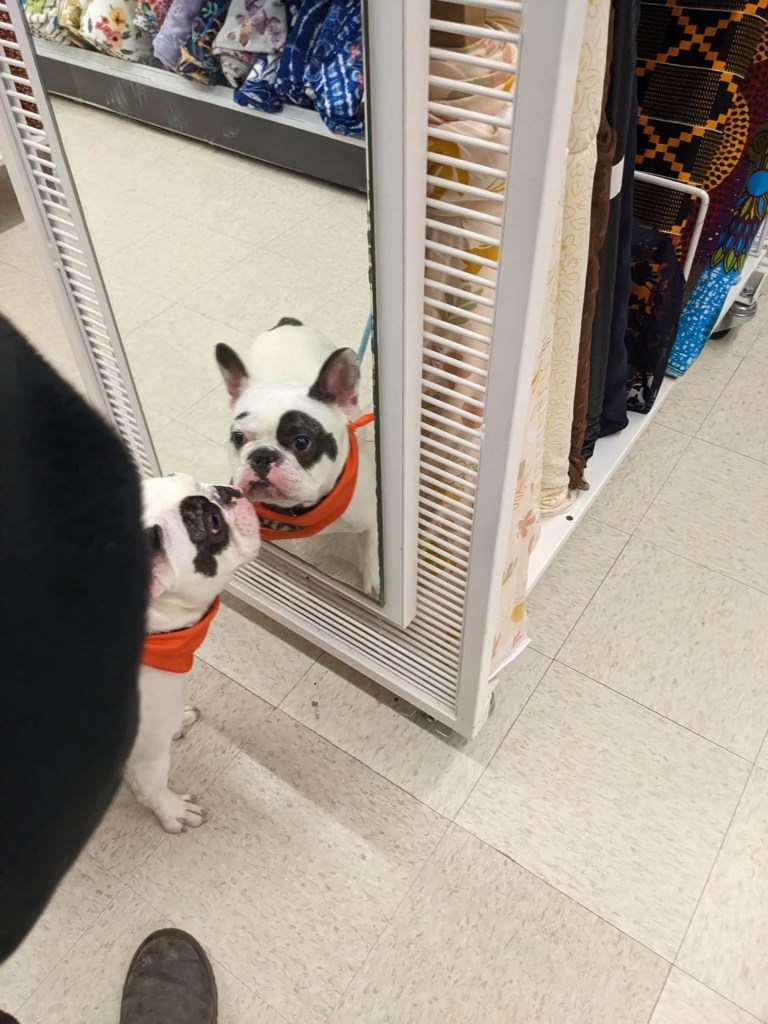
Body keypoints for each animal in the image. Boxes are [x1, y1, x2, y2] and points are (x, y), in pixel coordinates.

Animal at [124, 471, 260, 831]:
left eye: (185, 477)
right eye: (213, 524)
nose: (226, 492)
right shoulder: (146, 753)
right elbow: (152, 786)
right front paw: (173, 810)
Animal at [215, 315, 380, 598]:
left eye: (302, 442)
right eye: (238, 437)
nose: (262, 456)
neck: (302, 511)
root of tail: (286, 323)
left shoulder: (369, 518)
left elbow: (369, 546)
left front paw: (373, 579)